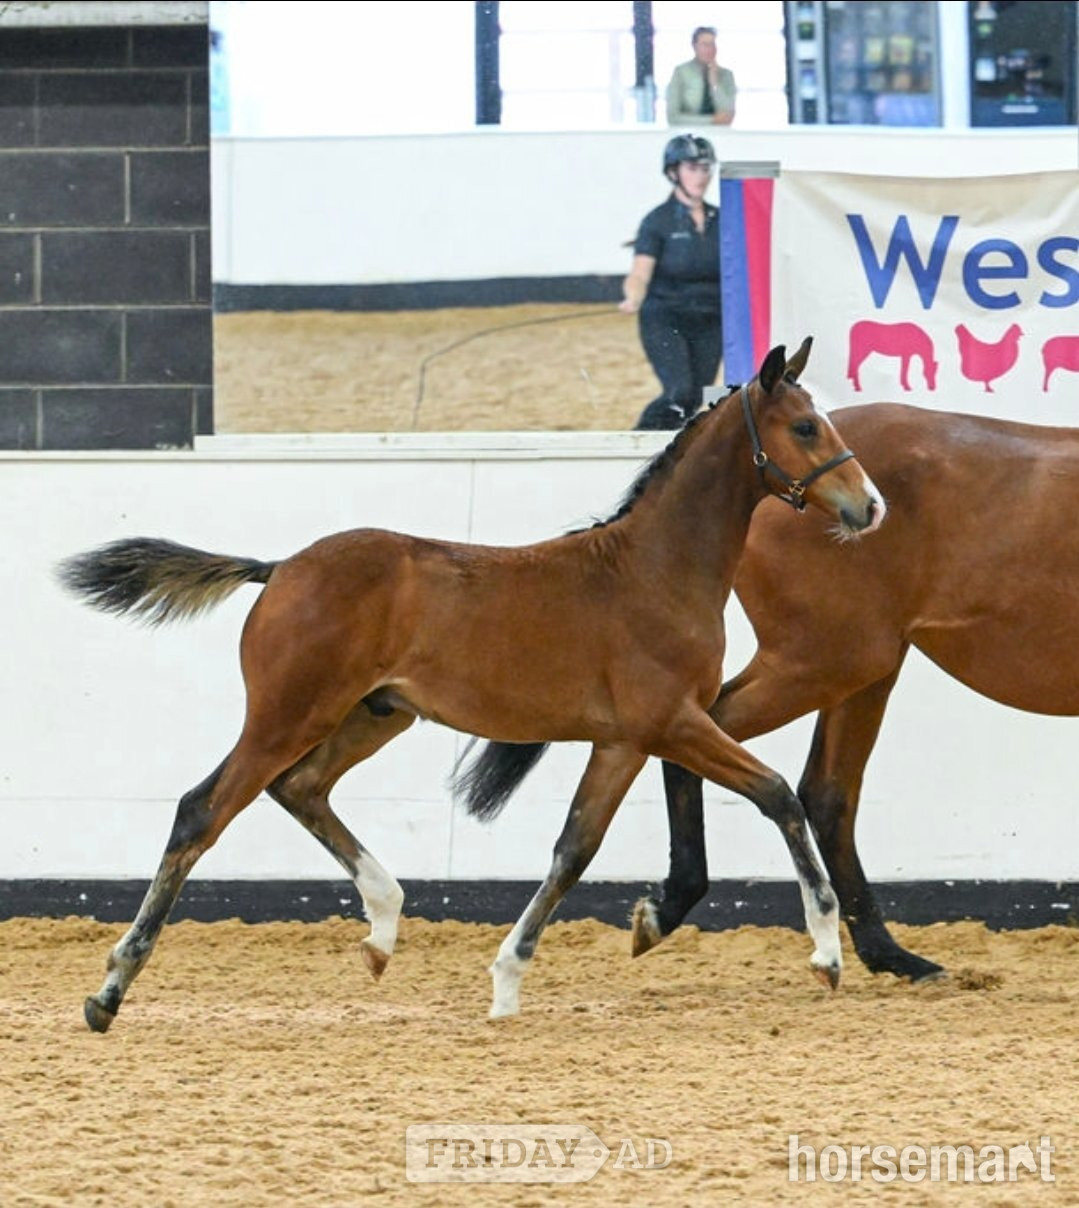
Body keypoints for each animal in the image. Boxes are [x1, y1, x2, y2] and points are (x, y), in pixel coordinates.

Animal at [57, 338, 885, 1031]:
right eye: (804, 427)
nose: (869, 506)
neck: (653, 568)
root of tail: (281, 568)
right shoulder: (672, 722)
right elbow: (776, 794)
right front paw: (825, 953)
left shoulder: (622, 740)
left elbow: (573, 847)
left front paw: (507, 982)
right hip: (288, 713)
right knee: (204, 809)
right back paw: (110, 990)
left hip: (373, 714)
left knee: (301, 788)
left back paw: (383, 928)